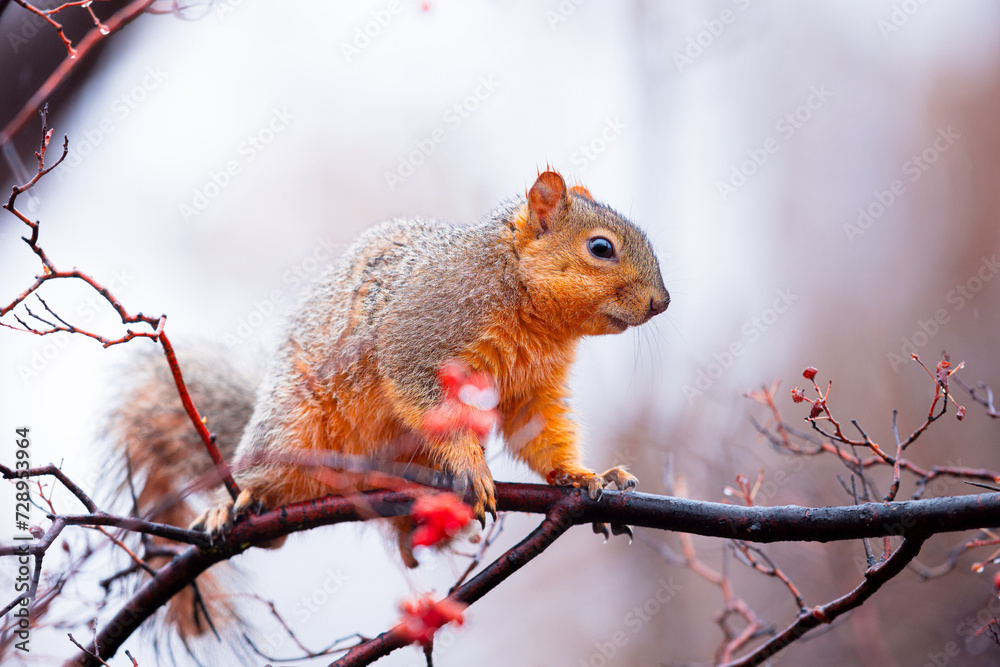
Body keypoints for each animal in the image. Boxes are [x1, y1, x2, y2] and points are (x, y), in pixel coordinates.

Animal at [108, 170, 669, 640]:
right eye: (601, 247)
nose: (661, 302)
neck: (524, 298)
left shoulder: (532, 390)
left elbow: (541, 434)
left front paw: (585, 476)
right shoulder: (416, 336)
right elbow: (417, 387)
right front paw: (472, 466)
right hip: (291, 430)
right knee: (268, 493)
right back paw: (235, 503)